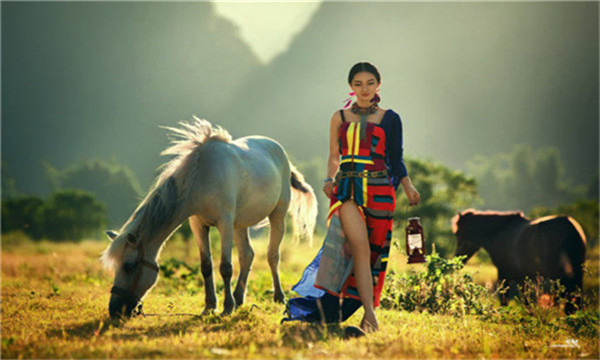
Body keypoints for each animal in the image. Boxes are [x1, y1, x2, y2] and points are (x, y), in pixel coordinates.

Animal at [102, 117, 318, 318]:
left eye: (129, 266)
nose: (114, 310)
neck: (202, 178)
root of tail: (280, 152)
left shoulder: (224, 224)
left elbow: (225, 267)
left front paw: (226, 307)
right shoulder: (198, 225)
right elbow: (206, 266)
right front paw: (209, 307)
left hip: (277, 216)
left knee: (272, 255)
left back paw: (278, 297)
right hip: (240, 224)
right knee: (247, 255)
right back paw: (239, 298)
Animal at [450, 210, 584, 310]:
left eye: (458, 234)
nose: (458, 260)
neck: (500, 232)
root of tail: (569, 227)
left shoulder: (503, 274)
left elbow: (505, 300)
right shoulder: (522, 278)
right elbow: (526, 302)